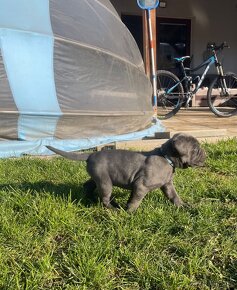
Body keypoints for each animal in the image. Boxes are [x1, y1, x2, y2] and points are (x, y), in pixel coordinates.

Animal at [46, 134, 206, 213]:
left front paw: (182, 206)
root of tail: (90, 155)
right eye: (196, 149)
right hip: (105, 182)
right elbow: (135, 201)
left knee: (88, 186)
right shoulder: (141, 186)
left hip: (98, 177)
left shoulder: (167, 185)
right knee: (104, 198)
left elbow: (174, 196)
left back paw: (91, 199)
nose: (206, 154)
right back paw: (115, 209)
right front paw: (130, 212)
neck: (166, 158)